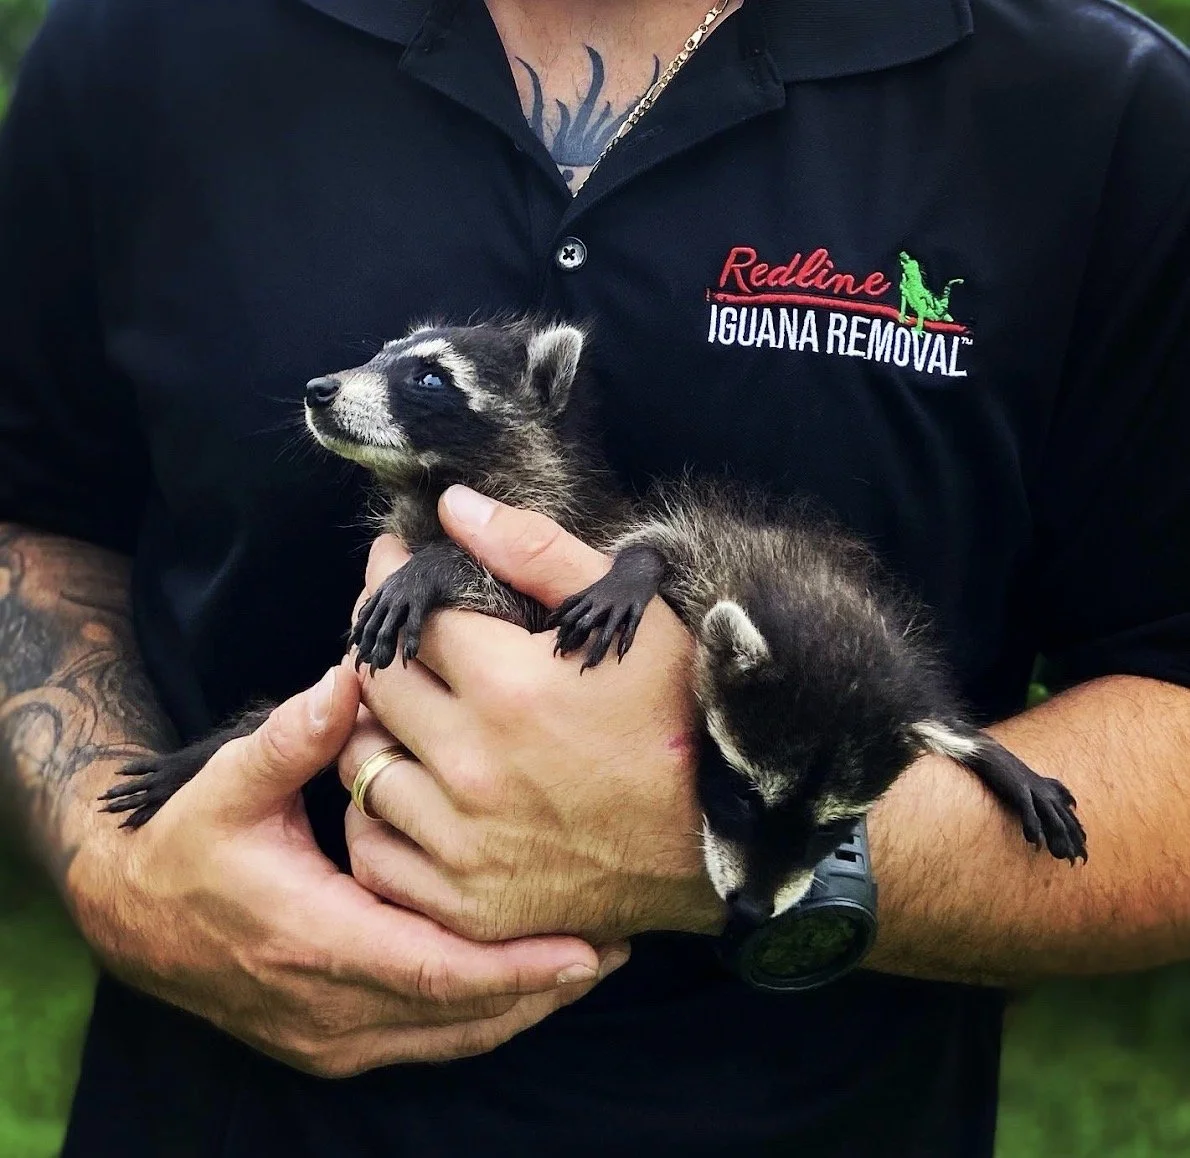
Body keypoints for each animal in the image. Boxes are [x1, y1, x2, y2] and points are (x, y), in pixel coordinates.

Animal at [101, 318, 1086, 928]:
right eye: (382, 353)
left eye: (427, 375)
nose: (318, 387)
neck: (436, 481)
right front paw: (217, 746)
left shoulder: (560, 533)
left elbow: (508, 591)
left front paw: (438, 568)